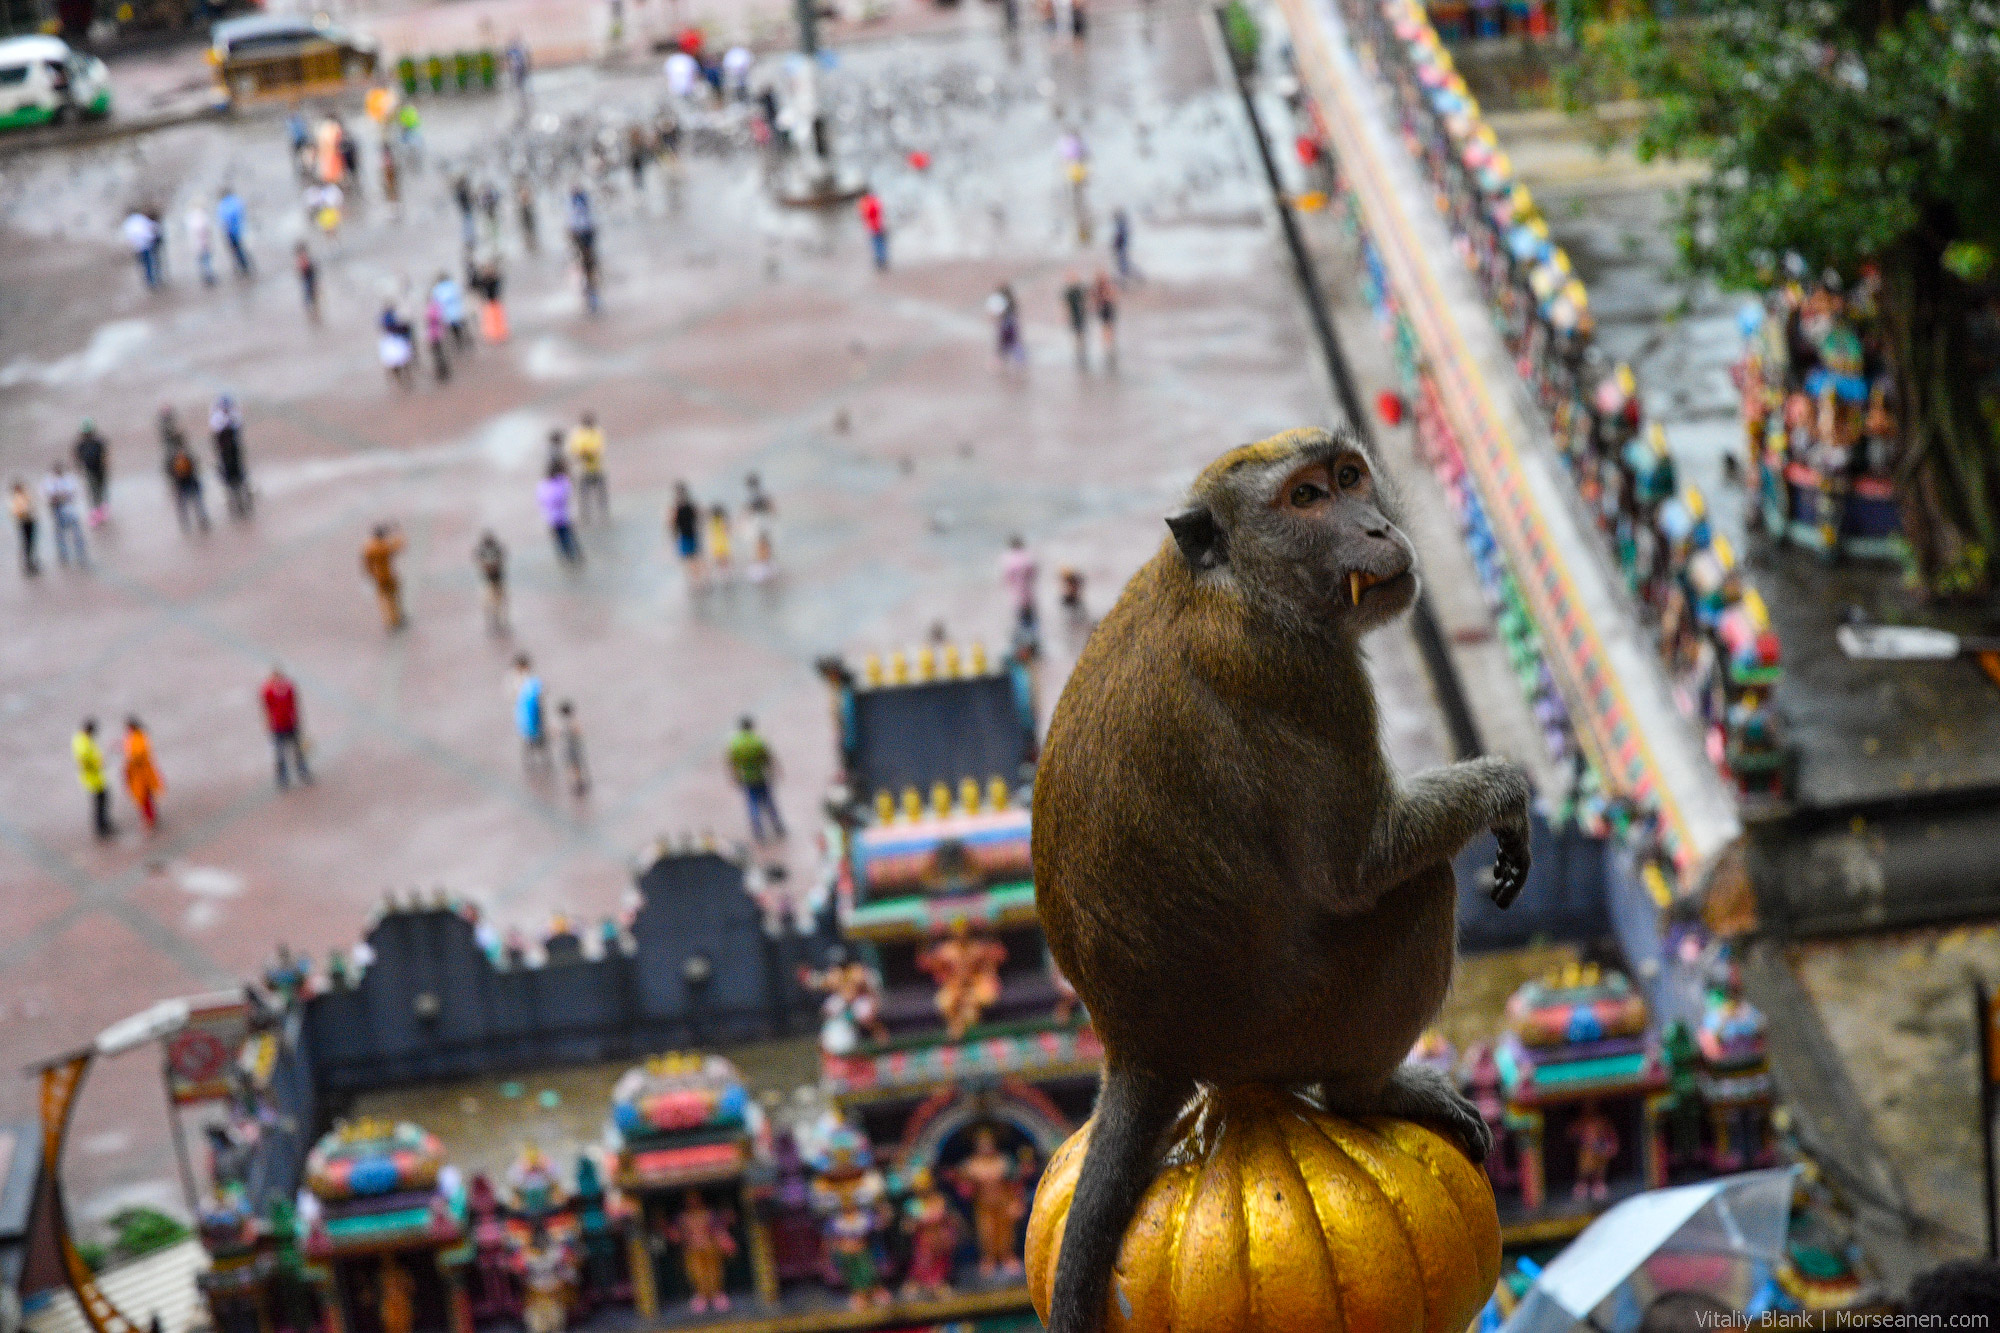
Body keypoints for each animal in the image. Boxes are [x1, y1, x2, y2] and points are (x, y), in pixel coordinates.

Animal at [1032, 426, 1528, 1328]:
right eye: (1304, 498)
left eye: (1349, 477)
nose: (1374, 527)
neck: (1230, 584)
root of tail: (1137, 1048)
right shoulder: (1302, 674)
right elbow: (1360, 863)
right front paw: (1506, 788)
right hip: (1282, 1032)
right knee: (1418, 888)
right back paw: (1370, 1089)